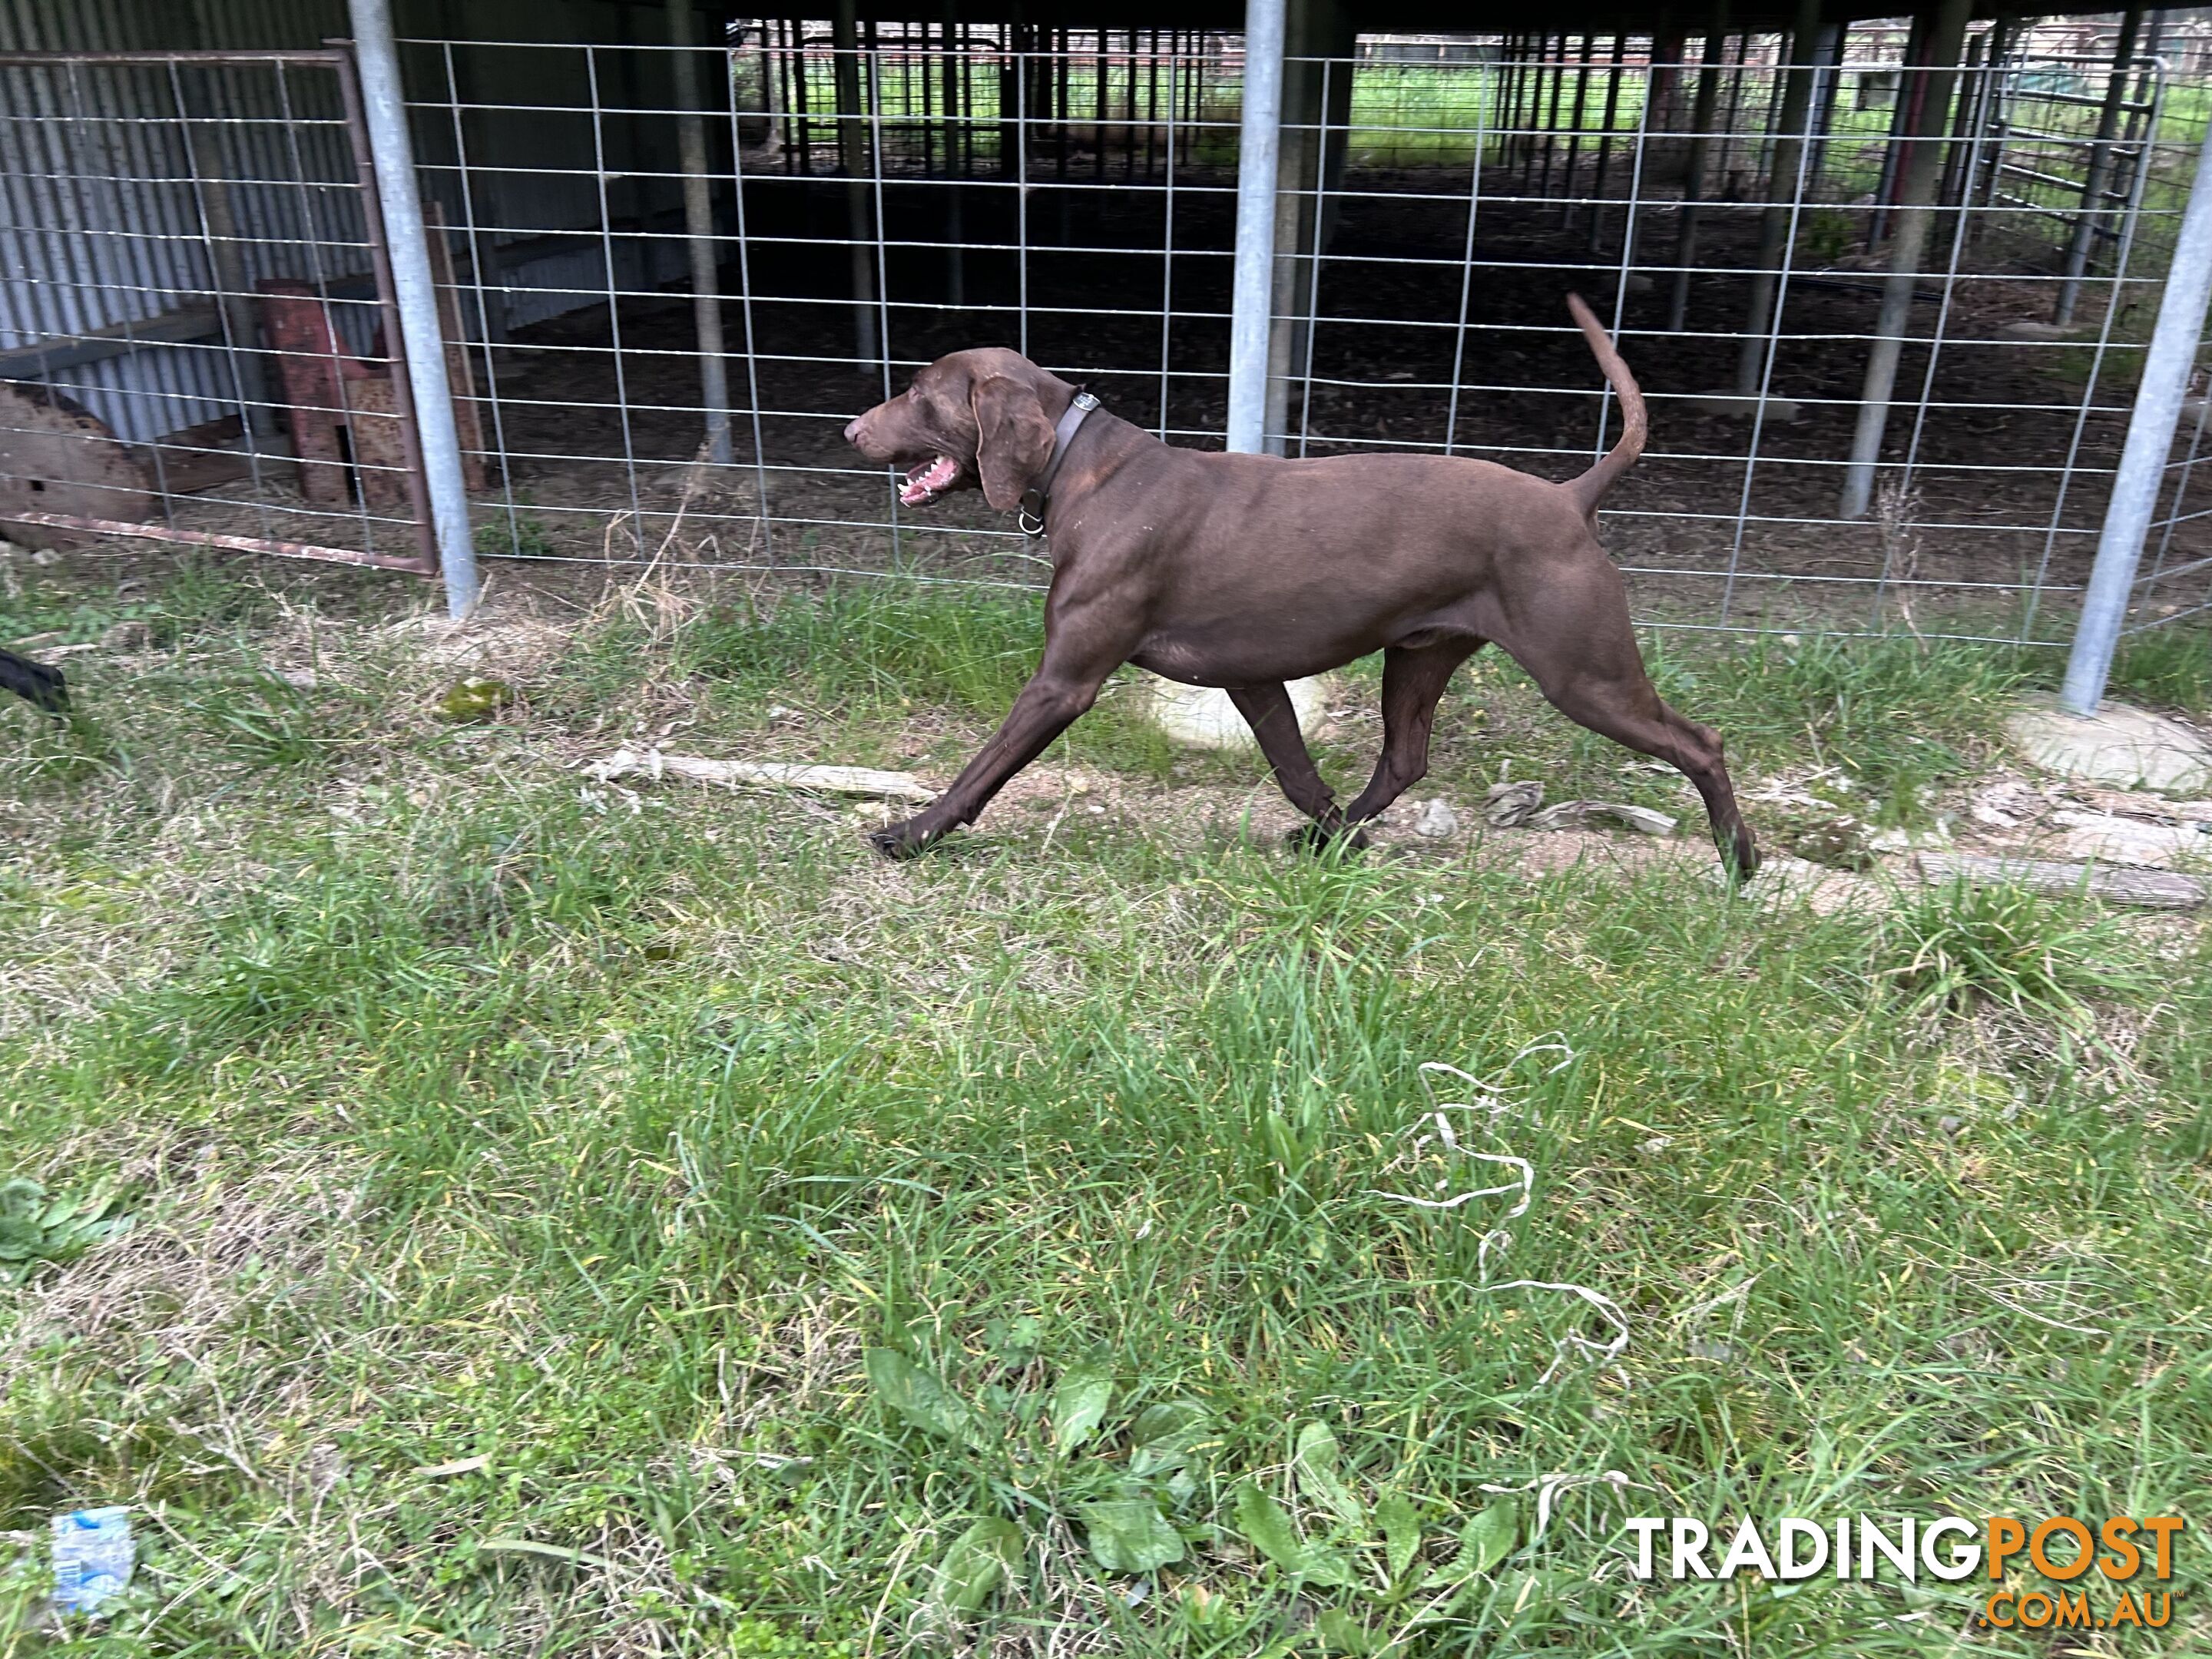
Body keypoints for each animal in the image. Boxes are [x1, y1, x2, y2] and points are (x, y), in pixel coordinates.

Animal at [836, 292, 1751, 876]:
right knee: (1405, 760)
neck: (1079, 466)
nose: (848, 429)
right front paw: (1336, 835)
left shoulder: (1065, 681)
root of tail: (1570, 498)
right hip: (1420, 658)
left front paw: (912, 833)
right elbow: (1298, 771)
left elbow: (982, 768)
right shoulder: (1251, 678)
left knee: (1700, 743)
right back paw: (1337, 841)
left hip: (1585, 673)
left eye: (917, 392)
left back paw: (1740, 862)